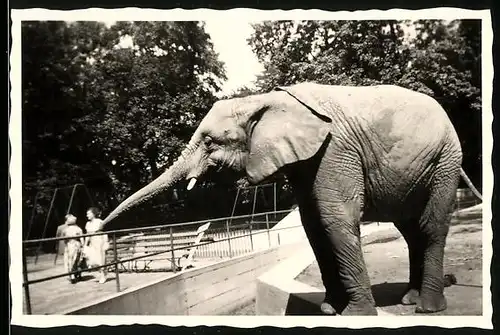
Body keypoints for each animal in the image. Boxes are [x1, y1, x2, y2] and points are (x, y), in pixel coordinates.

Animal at [100, 82, 480, 316]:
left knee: (430, 227)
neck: (265, 100)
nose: (99, 226)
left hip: (445, 160)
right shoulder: (306, 161)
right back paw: (409, 298)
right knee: (411, 231)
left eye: (209, 143)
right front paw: (328, 309)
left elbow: (335, 220)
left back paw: (427, 307)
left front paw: (356, 314)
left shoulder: (335, 150)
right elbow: (313, 225)